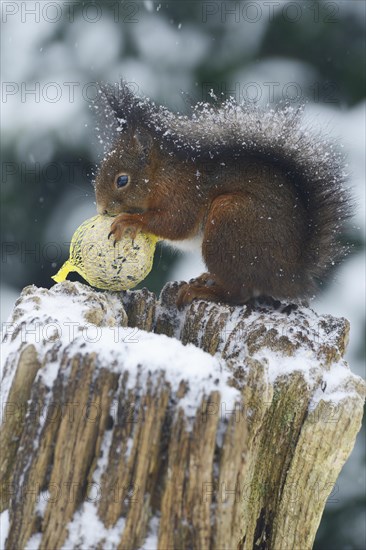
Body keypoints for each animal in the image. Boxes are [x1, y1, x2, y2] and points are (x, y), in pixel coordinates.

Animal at [94, 84, 352, 310]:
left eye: (122, 180)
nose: (102, 209)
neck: (162, 175)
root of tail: (292, 275)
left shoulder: (185, 194)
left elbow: (177, 223)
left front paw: (129, 221)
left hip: (230, 221)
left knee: (239, 293)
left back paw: (201, 291)